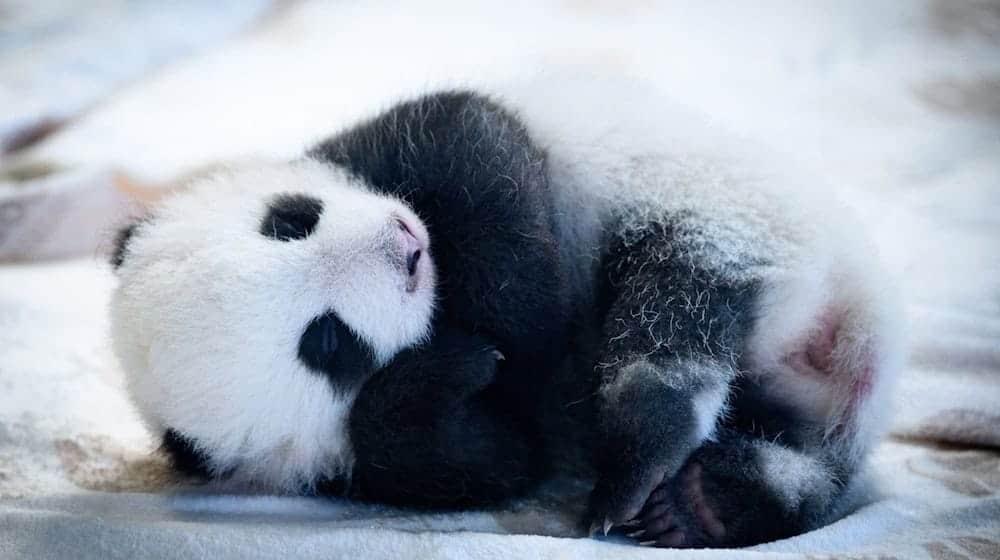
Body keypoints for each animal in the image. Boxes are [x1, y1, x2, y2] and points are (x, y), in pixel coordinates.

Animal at [107, 76, 900, 548]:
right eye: (327, 343)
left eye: (289, 221)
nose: (403, 249)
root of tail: (846, 324)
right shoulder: (366, 470)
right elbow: (494, 454)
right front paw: (448, 371)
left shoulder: (390, 144)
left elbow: (475, 145)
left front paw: (516, 315)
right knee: (745, 401)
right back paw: (698, 495)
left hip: (731, 207)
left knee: (674, 303)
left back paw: (654, 467)